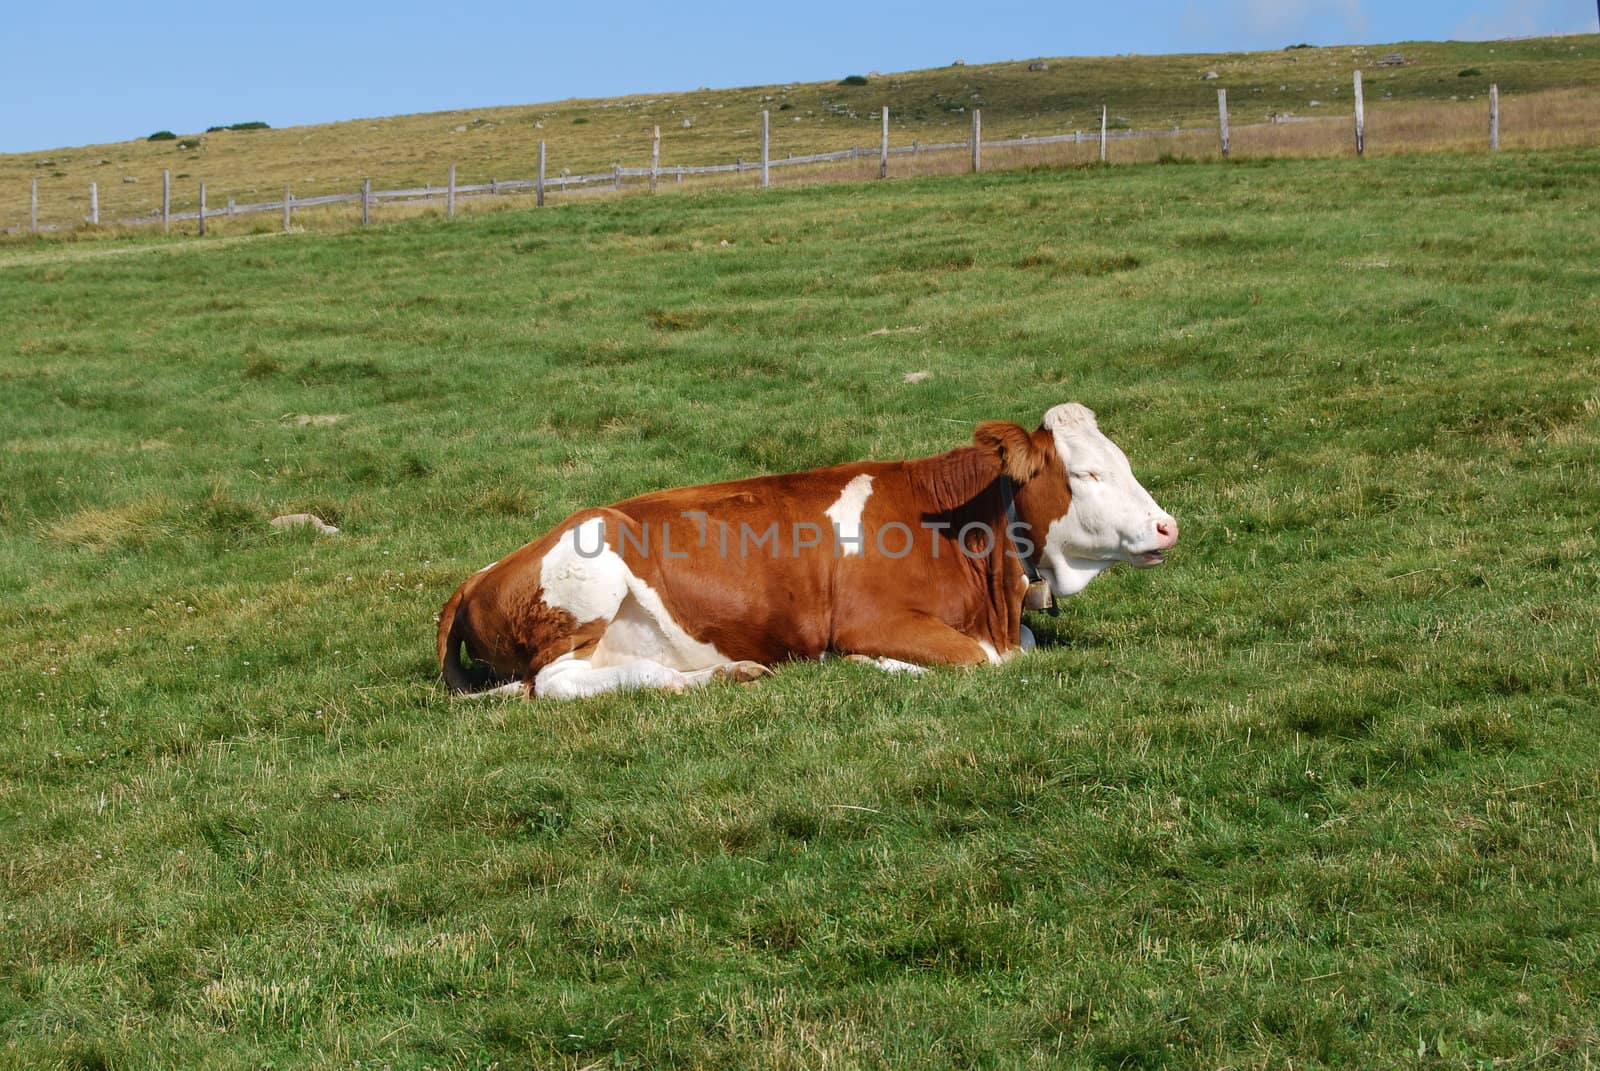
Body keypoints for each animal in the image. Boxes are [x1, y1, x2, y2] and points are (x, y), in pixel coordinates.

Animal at [438, 403, 1177, 701]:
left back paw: (727, 672)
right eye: (1087, 474)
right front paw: (873, 666)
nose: (1167, 526)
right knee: (555, 684)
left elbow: (1016, 645)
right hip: (589, 583)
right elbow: (985, 659)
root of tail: (479, 572)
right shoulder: (868, 619)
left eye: (1123, 459)